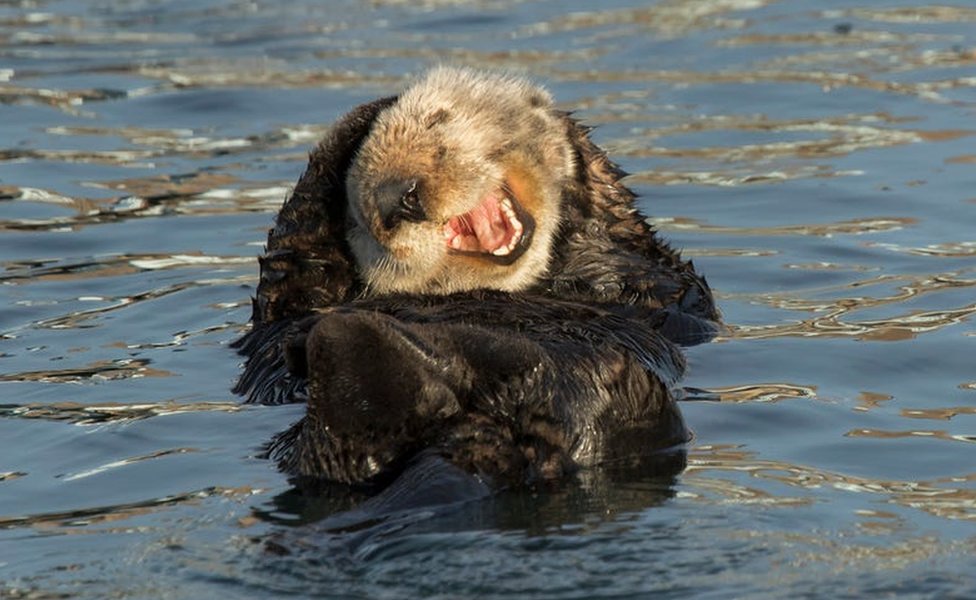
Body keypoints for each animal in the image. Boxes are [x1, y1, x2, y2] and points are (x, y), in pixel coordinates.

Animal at [234, 67, 716, 492]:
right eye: (361, 222)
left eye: (439, 121)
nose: (399, 198)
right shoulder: (291, 298)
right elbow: (292, 266)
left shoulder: (659, 281)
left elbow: (629, 267)